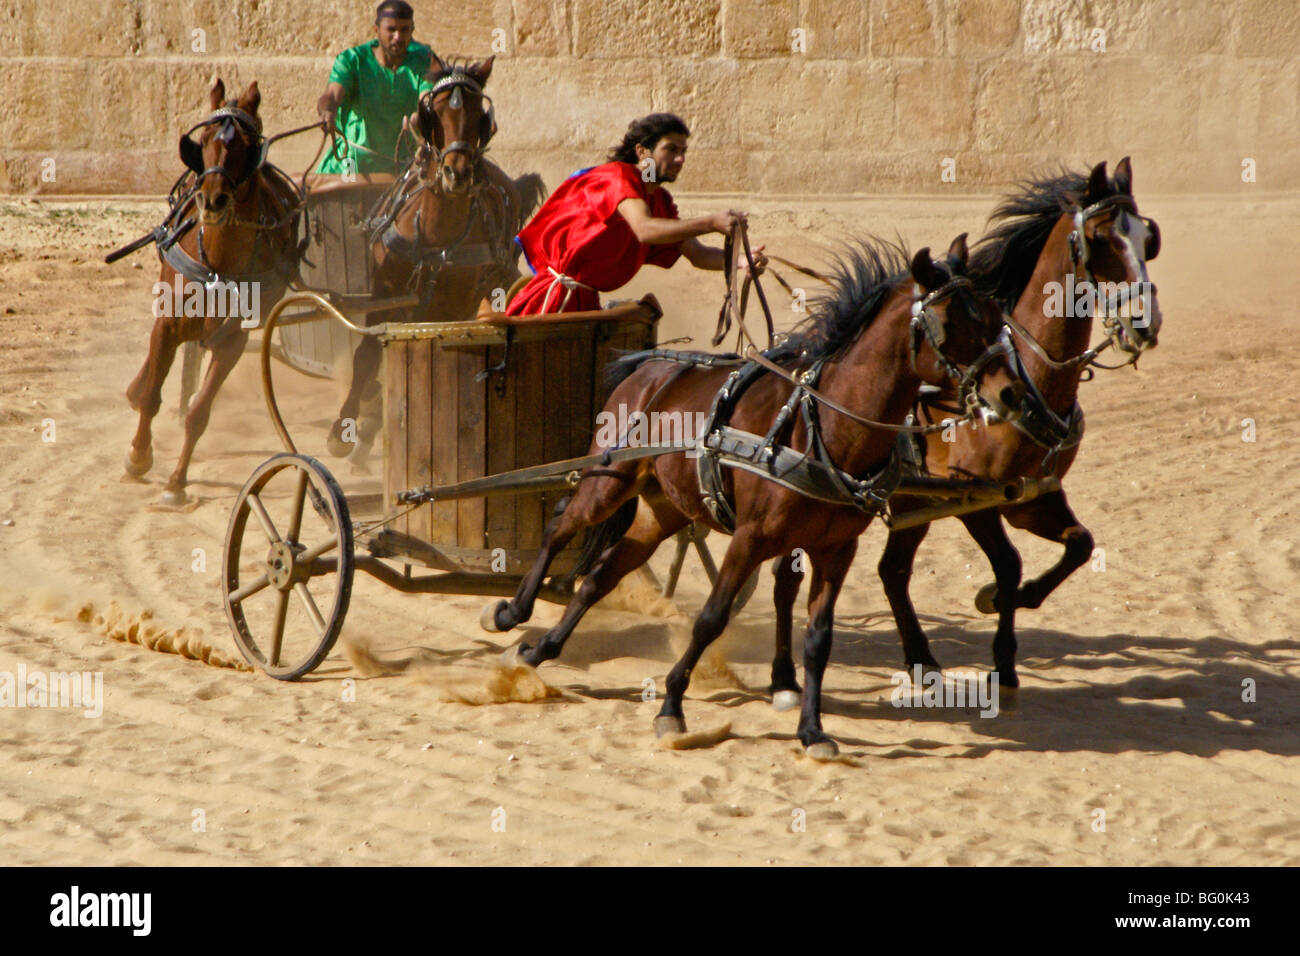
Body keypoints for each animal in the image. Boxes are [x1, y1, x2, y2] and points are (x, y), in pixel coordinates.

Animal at [123, 80, 301, 509]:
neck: (219, 260)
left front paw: (176, 483)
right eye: (202, 141)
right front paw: (139, 455)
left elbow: (199, 412)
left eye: (246, 146)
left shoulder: (231, 341)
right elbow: (153, 394)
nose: (213, 199)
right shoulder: (167, 324)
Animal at [330, 55, 548, 460]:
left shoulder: (454, 302)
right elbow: (367, 353)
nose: (457, 173)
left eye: (480, 115)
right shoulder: (384, 289)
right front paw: (343, 428)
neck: (435, 232)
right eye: (436, 112)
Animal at [488, 235, 1024, 759]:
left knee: (603, 572)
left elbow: (818, 639)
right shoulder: (749, 538)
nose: (1012, 395)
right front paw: (672, 707)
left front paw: (812, 729)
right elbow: (710, 619)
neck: (825, 429)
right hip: (609, 481)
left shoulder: (837, 550)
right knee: (561, 525)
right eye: (949, 323)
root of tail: (650, 367)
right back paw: (512, 613)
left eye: (994, 316)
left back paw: (541, 649)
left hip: (662, 510)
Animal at [873, 160, 1170, 691]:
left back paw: (920, 657)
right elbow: (1009, 564)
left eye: (1146, 237)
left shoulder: (1032, 497)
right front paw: (1002, 648)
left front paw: (1007, 602)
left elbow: (1080, 544)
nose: (1144, 324)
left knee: (893, 571)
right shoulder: (972, 498)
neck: (1032, 379)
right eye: (1099, 239)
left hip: (912, 501)